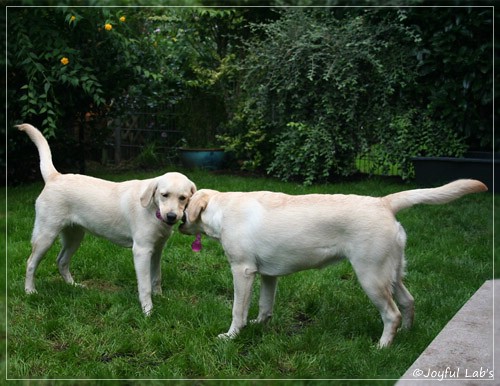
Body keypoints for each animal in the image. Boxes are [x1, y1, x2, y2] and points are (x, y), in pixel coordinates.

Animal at [18, 123, 197, 314]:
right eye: (164, 195)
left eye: (183, 198)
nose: (171, 217)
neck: (153, 209)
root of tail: (55, 176)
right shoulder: (142, 251)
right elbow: (145, 286)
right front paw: (147, 310)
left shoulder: (157, 250)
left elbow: (156, 277)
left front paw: (161, 297)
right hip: (46, 235)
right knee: (30, 263)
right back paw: (30, 291)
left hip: (74, 237)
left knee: (61, 261)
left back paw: (73, 286)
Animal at [179, 181, 484, 346]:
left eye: (183, 201)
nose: (173, 219)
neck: (221, 210)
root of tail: (384, 202)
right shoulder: (267, 275)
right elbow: (265, 306)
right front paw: (259, 325)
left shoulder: (242, 270)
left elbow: (237, 311)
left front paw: (232, 335)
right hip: (392, 272)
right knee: (408, 301)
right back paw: (406, 335)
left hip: (370, 275)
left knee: (392, 313)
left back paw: (382, 346)